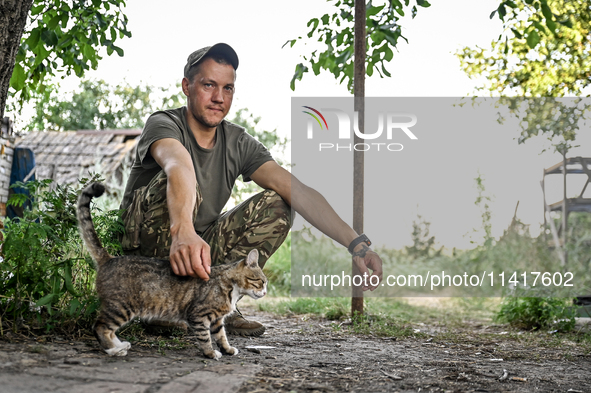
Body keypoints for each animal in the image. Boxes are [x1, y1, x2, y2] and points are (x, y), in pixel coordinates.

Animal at [76, 181, 268, 358]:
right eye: (261, 282)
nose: (265, 292)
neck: (230, 287)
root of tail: (109, 258)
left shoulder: (217, 320)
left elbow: (221, 335)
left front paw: (227, 349)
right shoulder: (199, 315)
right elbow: (205, 337)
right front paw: (210, 353)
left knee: (107, 328)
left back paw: (120, 345)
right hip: (121, 306)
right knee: (100, 327)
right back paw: (113, 349)